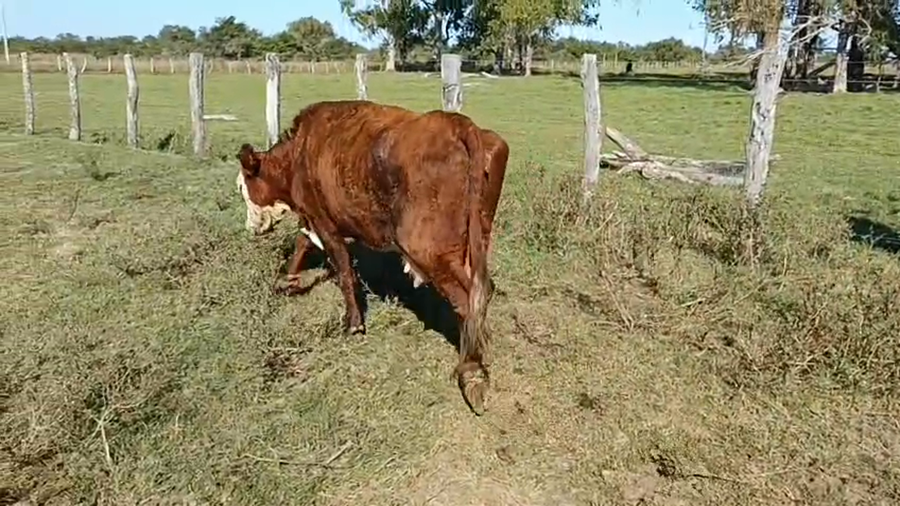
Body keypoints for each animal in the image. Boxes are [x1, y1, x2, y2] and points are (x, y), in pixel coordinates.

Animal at [235, 100, 509, 415]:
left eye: (242, 187)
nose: (250, 228)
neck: (298, 154)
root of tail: (455, 123)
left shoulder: (324, 222)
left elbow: (343, 272)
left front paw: (354, 324)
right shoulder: (316, 219)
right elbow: (302, 243)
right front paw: (286, 281)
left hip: (426, 248)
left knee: (466, 300)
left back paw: (471, 373)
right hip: (476, 239)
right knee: (482, 292)